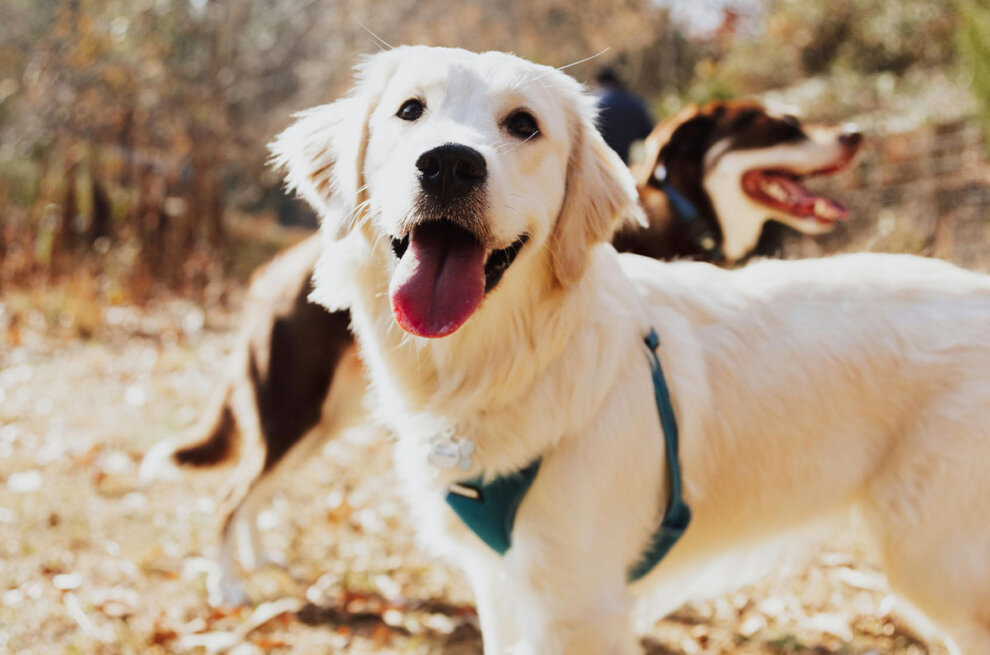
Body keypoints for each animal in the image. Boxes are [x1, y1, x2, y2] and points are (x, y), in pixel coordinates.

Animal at [140, 95, 860, 608]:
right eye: (777, 124)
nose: (855, 133)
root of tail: (274, 272)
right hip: (294, 410)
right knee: (232, 493)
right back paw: (228, 585)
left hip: (320, 420)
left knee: (252, 489)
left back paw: (258, 558)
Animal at [276, 47, 990, 655]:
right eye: (410, 111)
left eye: (523, 125)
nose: (450, 163)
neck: (510, 362)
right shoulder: (505, 585)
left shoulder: (579, 602)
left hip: (942, 566)